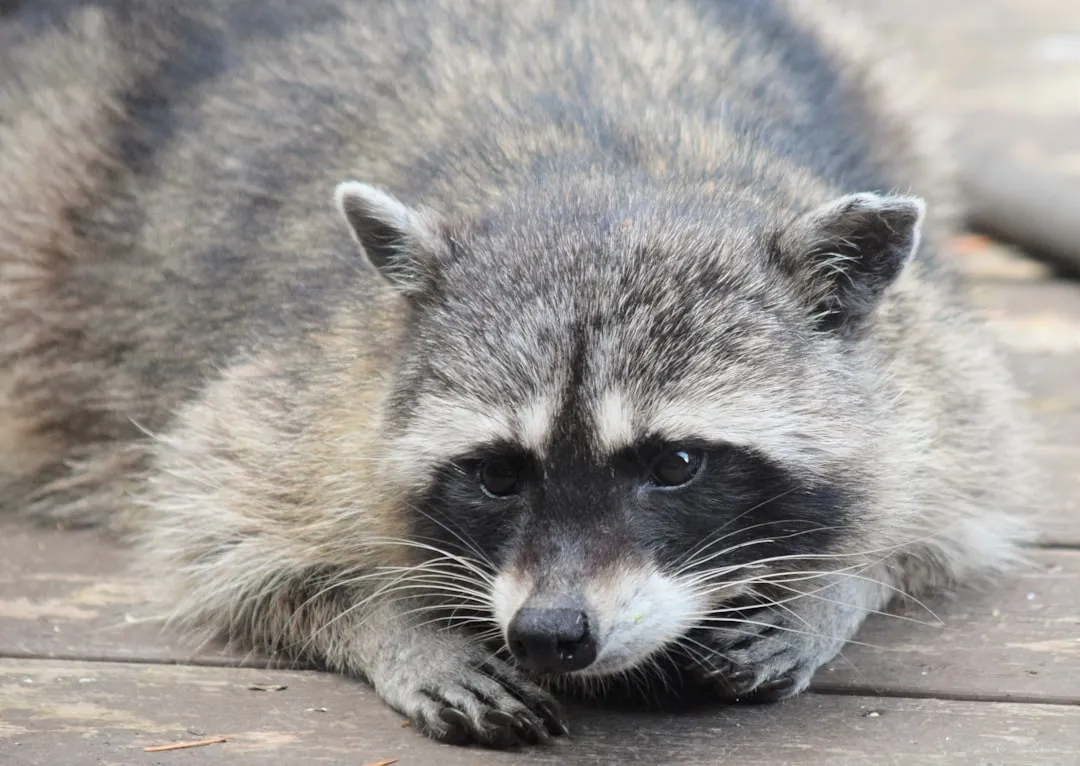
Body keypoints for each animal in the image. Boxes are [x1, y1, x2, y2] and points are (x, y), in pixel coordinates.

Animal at [0, 0, 1035, 748]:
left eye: (676, 466)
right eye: (496, 472)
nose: (551, 633)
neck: (605, 177)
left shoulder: (926, 356)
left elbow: (962, 476)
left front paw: (837, 585)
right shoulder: (311, 386)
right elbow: (213, 523)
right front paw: (385, 620)